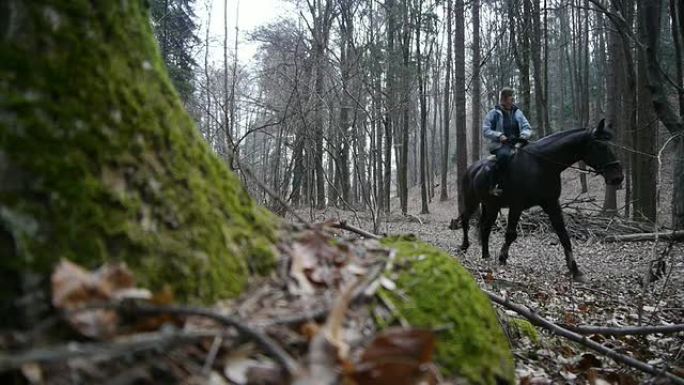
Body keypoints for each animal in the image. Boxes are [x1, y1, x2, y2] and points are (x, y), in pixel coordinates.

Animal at [456, 118, 624, 280]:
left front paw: (575, 269)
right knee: (465, 220)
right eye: (600, 146)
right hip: (472, 202)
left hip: (492, 206)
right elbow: (511, 234)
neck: (542, 164)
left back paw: (486, 255)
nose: (618, 177)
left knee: (485, 228)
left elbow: (563, 235)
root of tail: (472, 169)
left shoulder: (551, 204)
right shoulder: (516, 205)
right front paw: (503, 257)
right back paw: (464, 246)